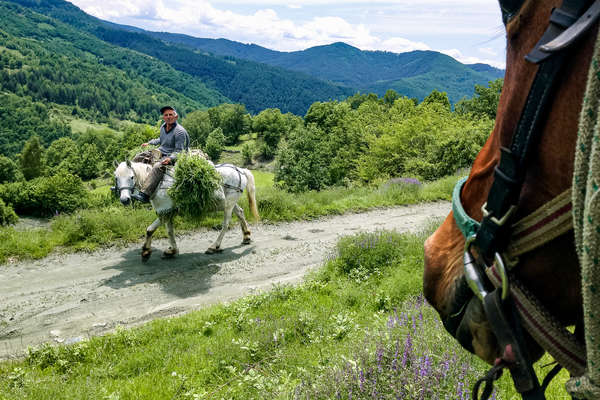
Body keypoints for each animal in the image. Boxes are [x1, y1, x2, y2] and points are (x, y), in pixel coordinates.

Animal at [113, 159, 258, 262]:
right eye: (116, 177)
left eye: (131, 177)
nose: (124, 199)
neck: (158, 184)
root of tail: (240, 170)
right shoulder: (167, 212)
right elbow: (169, 231)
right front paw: (172, 250)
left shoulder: (164, 211)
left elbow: (150, 229)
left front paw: (146, 252)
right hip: (230, 203)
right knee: (240, 212)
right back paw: (246, 236)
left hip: (228, 205)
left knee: (225, 224)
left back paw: (214, 247)